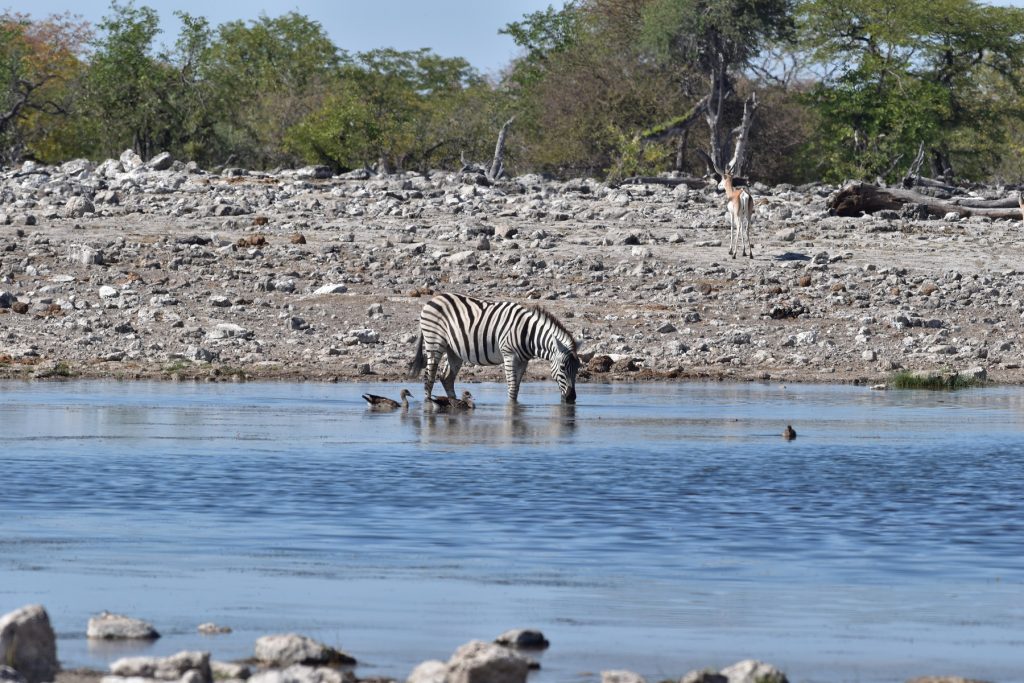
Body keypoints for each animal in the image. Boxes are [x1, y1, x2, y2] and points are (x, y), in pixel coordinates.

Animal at [409, 290, 585, 403]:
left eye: (578, 368)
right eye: (562, 367)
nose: (572, 398)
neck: (529, 334)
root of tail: (432, 299)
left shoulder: (524, 360)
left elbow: (517, 388)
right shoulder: (509, 355)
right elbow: (512, 388)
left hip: (454, 350)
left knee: (446, 378)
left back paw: (454, 404)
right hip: (434, 342)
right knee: (429, 376)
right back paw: (428, 403)